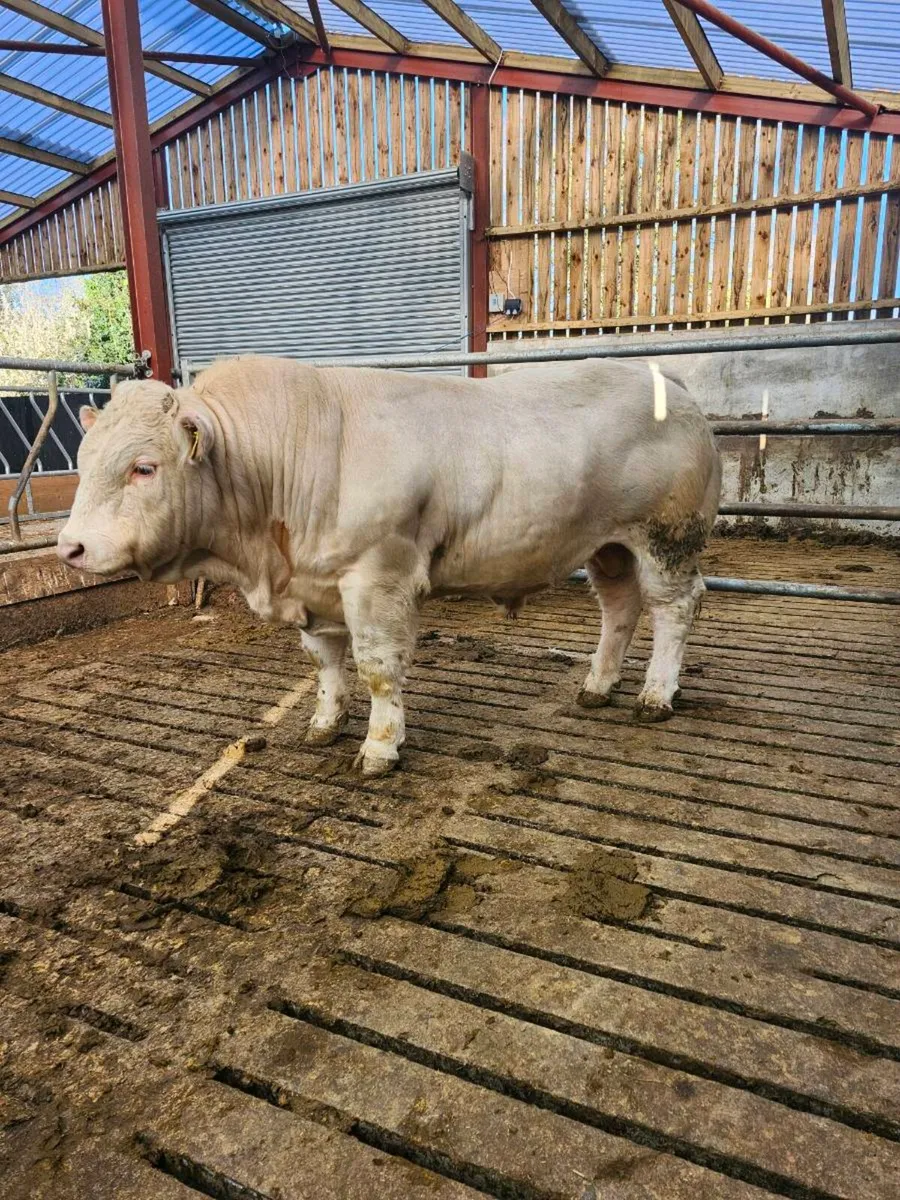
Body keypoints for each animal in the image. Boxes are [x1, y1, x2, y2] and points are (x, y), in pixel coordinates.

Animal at [58, 356, 721, 776]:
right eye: (83, 461)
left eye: (144, 467)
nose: (71, 547)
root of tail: (664, 379)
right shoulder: (315, 586)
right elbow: (326, 662)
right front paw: (324, 723)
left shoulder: (379, 576)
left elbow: (378, 670)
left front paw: (379, 748)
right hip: (607, 547)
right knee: (620, 609)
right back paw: (597, 686)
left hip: (667, 537)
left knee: (675, 608)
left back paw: (655, 694)